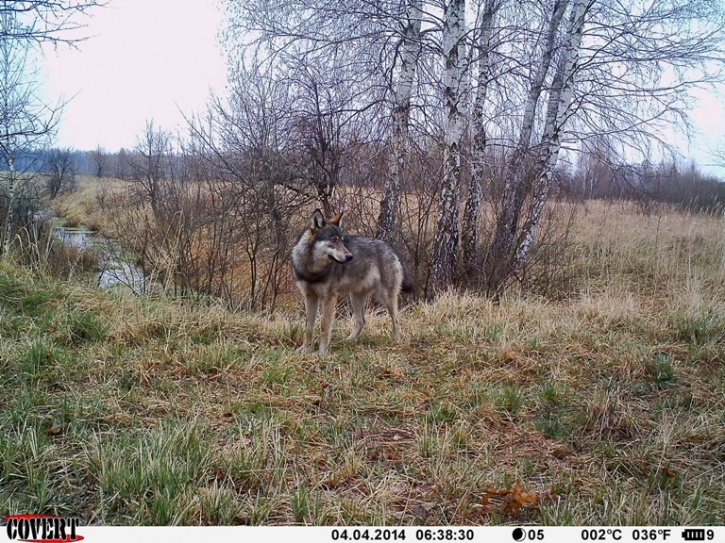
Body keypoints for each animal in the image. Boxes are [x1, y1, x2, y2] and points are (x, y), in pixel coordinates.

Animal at [290, 209, 412, 356]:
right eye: (333, 240)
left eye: (342, 241)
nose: (350, 257)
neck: (313, 269)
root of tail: (391, 248)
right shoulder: (309, 297)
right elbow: (309, 326)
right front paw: (304, 349)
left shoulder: (329, 298)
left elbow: (325, 326)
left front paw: (322, 353)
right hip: (355, 297)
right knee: (361, 321)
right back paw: (348, 340)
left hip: (385, 297)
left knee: (396, 319)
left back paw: (396, 342)